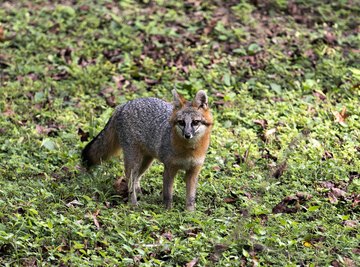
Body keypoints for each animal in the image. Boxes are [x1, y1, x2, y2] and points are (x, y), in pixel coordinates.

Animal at [82, 90, 212, 211]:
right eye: (181, 122)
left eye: (195, 122)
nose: (187, 135)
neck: (189, 151)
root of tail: (122, 106)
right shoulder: (169, 168)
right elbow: (168, 195)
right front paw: (168, 211)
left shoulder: (194, 171)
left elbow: (190, 197)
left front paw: (189, 213)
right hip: (134, 161)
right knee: (130, 180)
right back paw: (134, 203)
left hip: (146, 162)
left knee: (136, 179)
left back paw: (140, 194)